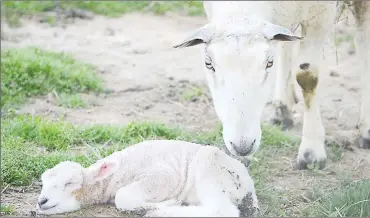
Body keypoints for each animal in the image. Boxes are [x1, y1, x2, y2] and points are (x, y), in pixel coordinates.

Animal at [36, 140, 258, 216]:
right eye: (43, 183)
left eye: (70, 183)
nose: (41, 201)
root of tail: (249, 183)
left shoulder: (163, 177)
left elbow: (122, 197)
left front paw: (164, 204)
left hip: (211, 169)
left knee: (223, 211)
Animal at [173, 0, 370, 169]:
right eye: (208, 63)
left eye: (269, 63)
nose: (243, 147)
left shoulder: (321, 13)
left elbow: (306, 76)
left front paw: (311, 152)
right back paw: (282, 109)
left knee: (363, 38)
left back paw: (365, 131)